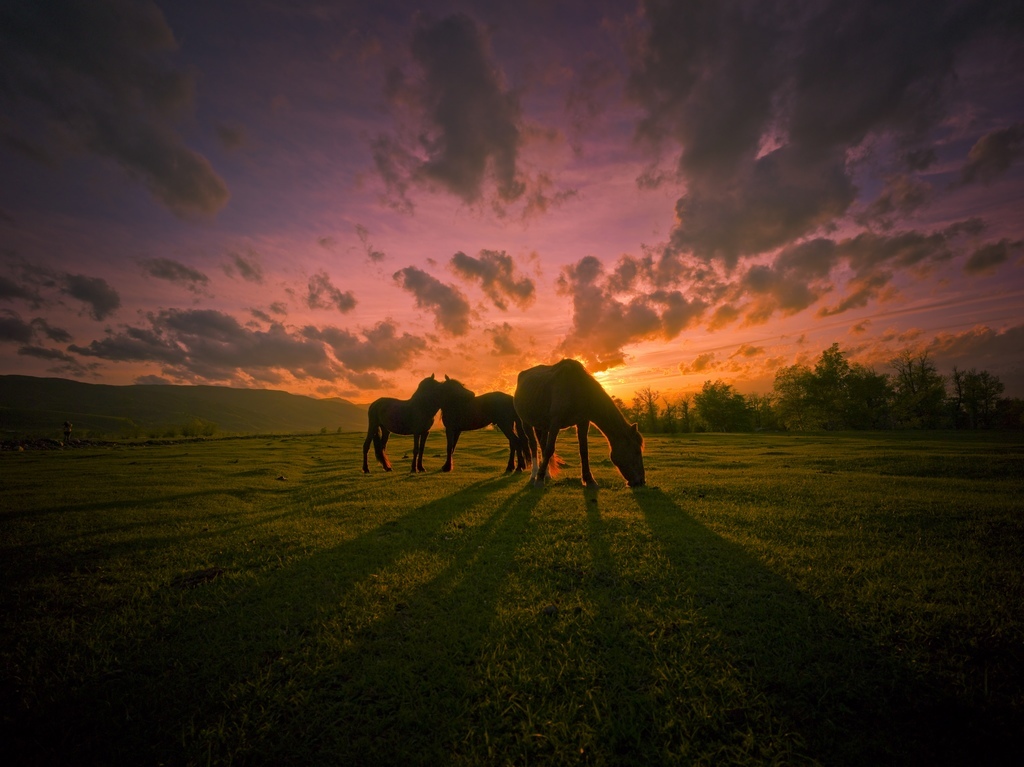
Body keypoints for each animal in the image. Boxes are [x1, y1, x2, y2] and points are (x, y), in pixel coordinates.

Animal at [512, 358, 647, 485]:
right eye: (636, 451)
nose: (641, 481)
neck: (577, 389)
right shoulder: (555, 423)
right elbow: (550, 449)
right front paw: (539, 479)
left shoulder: (582, 422)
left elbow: (583, 450)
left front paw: (589, 480)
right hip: (526, 423)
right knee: (533, 445)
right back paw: (534, 475)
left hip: (543, 426)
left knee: (542, 444)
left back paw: (547, 474)